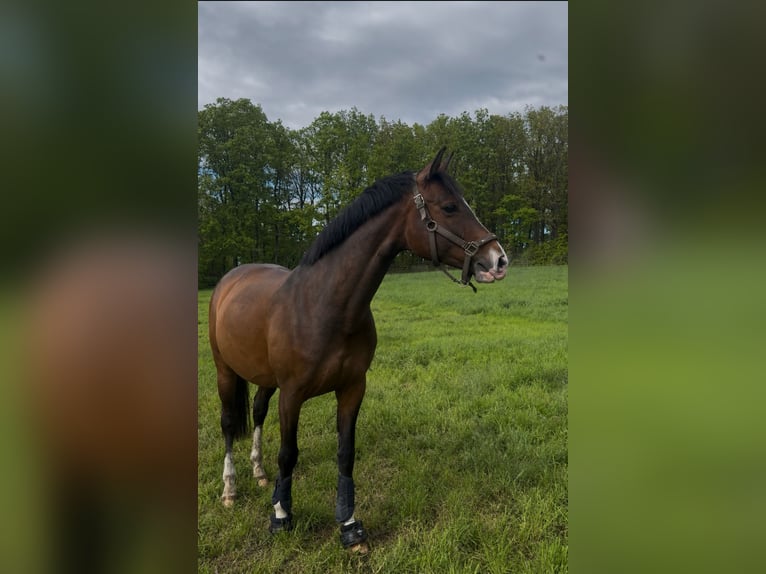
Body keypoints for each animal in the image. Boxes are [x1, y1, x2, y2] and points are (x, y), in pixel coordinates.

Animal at [208, 147, 508, 552]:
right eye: (449, 207)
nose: (498, 260)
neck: (325, 305)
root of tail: (232, 276)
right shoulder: (292, 394)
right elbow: (288, 454)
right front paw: (281, 516)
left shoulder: (352, 388)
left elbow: (345, 453)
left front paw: (349, 526)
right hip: (225, 371)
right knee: (228, 424)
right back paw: (230, 489)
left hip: (265, 378)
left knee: (256, 412)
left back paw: (258, 472)